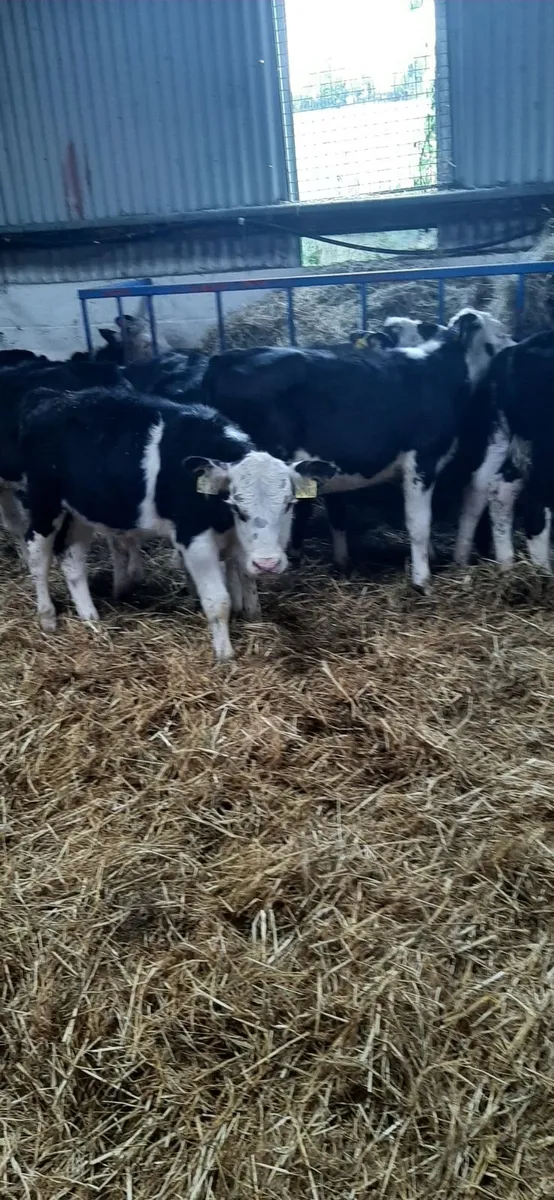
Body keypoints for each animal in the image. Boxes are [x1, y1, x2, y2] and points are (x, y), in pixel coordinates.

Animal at [18, 387, 322, 660]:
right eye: (236, 505)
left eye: (289, 503)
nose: (268, 564)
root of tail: (53, 401)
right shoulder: (195, 539)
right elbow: (218, 600)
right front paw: (224, 655)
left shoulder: (239, 542)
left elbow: (247, 581)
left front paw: (252, 616)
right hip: (44, 501)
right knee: (38, 556)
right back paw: (47, 617)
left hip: (81, 511)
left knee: (72, 559)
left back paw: (90, 618)